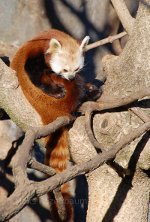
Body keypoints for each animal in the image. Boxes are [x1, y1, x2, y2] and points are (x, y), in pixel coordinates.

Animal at [10, 29, 99, 220]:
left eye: (77, 68)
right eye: (64, 69)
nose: (71, 77)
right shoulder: (36, 55)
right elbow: (35, 73)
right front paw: (56, 90)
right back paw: (87, 93)